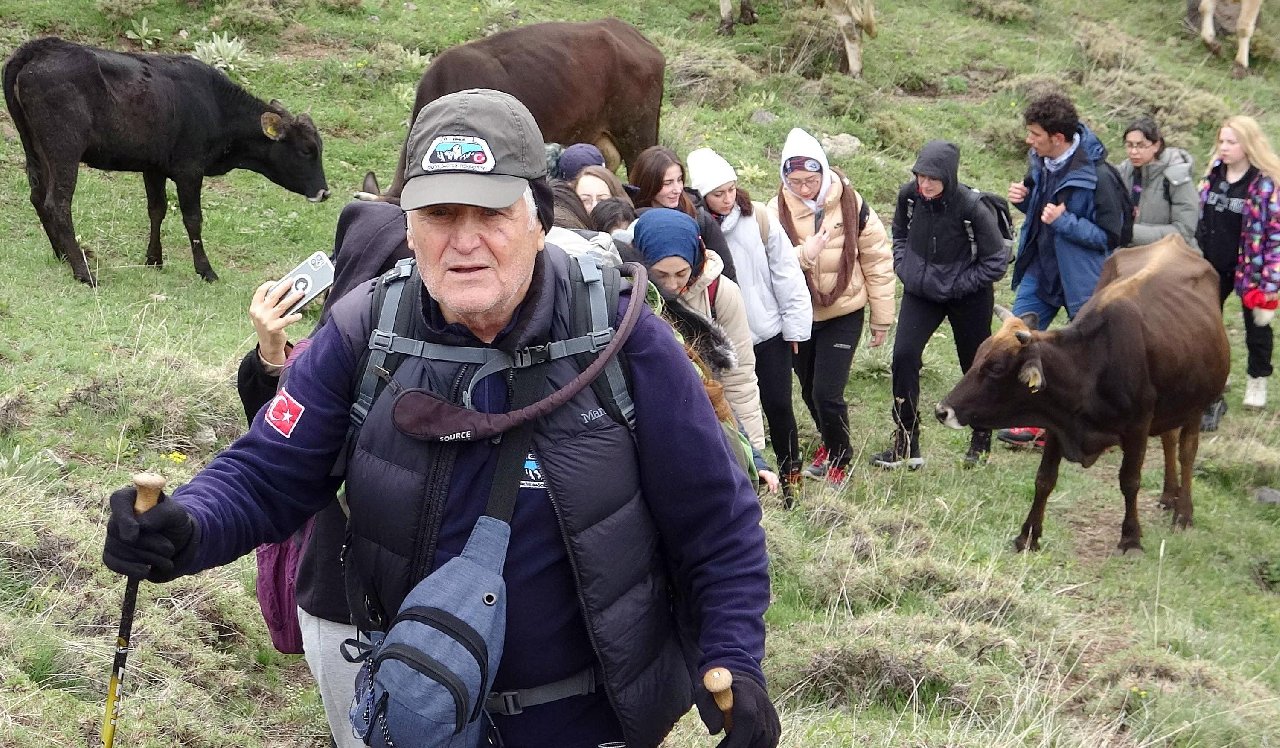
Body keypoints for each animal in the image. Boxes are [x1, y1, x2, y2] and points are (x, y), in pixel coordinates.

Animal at [942, 236, 1228, 553]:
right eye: (977, 356)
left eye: (995, 368)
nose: (943, 410)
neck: (1091, 364)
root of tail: (1173, 239)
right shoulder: (1057, 422)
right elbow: (1044, 479)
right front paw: (1028, 536)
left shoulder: (1138, 427)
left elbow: (1130, 480)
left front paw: (1131, 538)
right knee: (1169, 438)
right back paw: (1168, 495)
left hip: (1196, 404)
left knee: (1187, 451)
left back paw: (1183, 512)